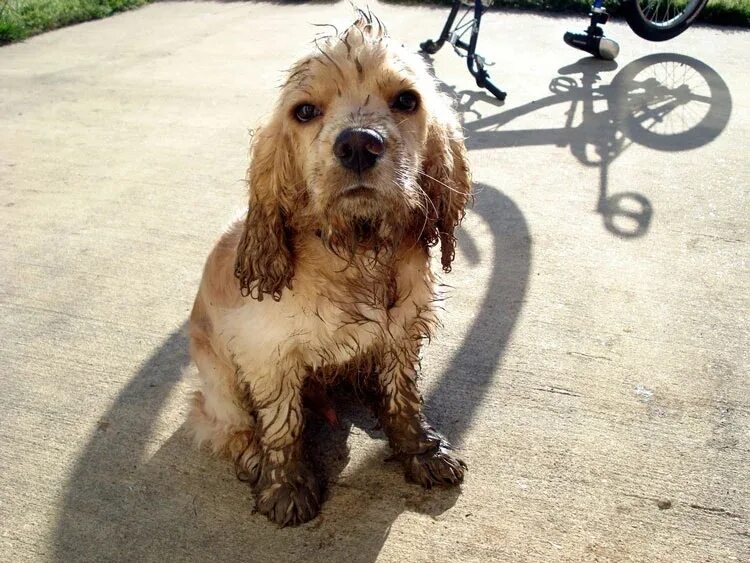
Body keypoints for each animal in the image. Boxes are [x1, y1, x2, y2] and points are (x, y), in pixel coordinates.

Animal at [189, 11, 470, 528]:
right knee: (224, 423)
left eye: (407, 100)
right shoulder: (267, 354)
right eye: (304, 112)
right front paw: (285, 486)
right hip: (215, 372)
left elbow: (403, 394)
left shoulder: (402, 329)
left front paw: (422, 451)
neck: (356, 250)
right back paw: (252, 455)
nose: (359, 144)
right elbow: (282, 424)